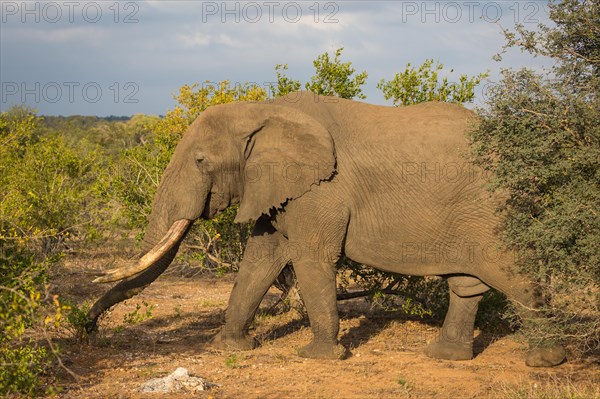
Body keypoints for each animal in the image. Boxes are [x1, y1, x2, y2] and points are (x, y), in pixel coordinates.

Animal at [86, 90, 564, 368]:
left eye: (201, 161)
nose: (88, 329)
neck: (264, 110)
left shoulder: (321, 190)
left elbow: (311, 257)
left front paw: (319, 357)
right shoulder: (281, 189)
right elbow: (260, 259)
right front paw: (229, 349)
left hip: (496, 207)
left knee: (515, 274)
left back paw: (546, 361)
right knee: (466, 284)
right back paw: (445, 357)